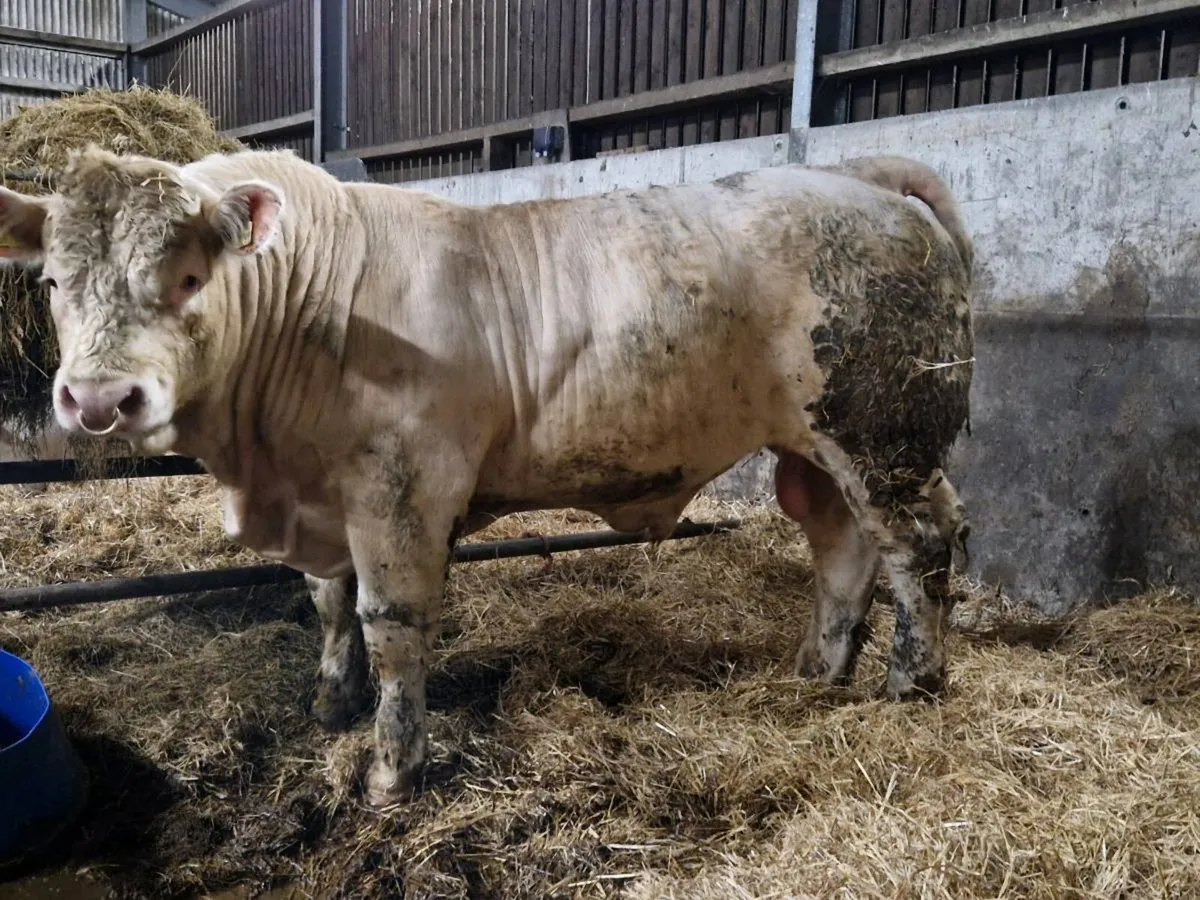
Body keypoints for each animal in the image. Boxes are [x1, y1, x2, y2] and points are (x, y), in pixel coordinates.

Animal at [0, 145, 974, 807]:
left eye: (191, 276)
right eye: (51, 283)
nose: (98, 399)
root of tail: (859, 174)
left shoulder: (400, 488)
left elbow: (390, 623)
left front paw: (392, 769)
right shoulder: (325, 498)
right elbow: (327, 602)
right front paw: (330, 701)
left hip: (887, 436)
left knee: (921, 545)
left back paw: (909, 684)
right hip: (818, 449)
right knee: (842, 548)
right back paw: (819, 672)